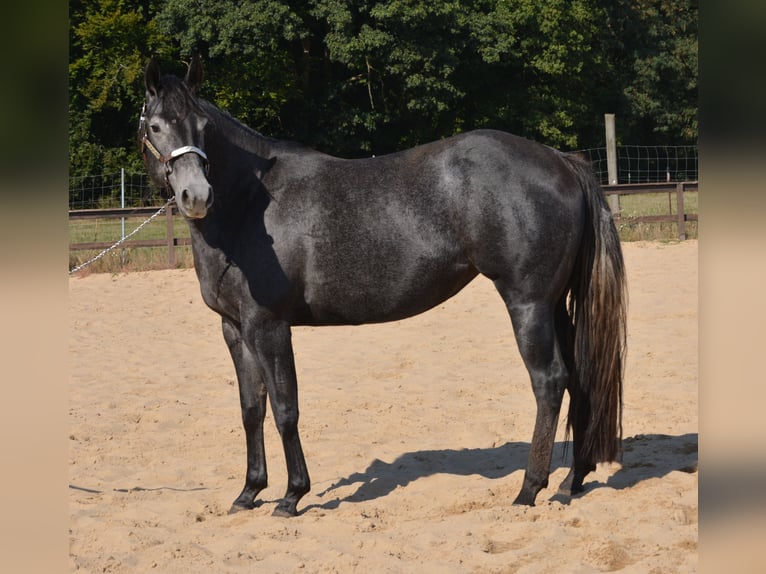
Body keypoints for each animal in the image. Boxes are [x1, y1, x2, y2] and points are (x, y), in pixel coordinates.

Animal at [139, 55, 626, 517]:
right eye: (155, 125)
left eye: (202, 126)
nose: (197, 196)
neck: (251, 206)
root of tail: (562, 161)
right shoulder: (235, 329)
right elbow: (251, 409)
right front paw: (249, 492)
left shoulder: (269, 326)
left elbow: (285, 409)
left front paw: (292, 495)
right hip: (555, 304)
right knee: (580, 376)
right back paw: (572, 480)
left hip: (528, 303)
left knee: (549, 381)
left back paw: (529, 490)